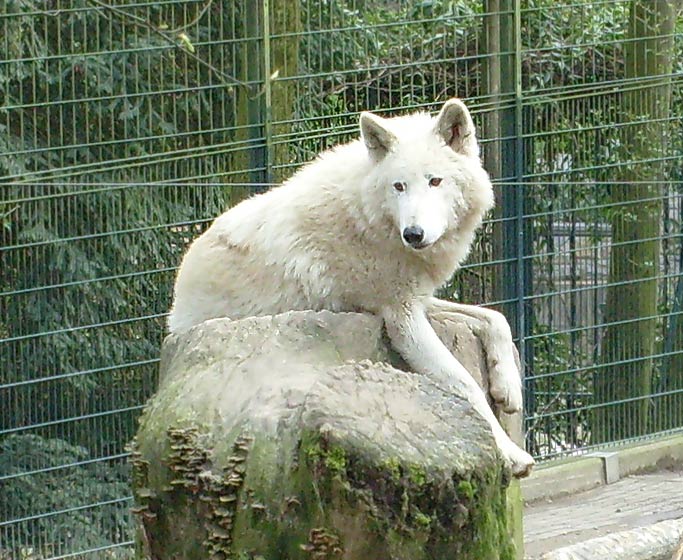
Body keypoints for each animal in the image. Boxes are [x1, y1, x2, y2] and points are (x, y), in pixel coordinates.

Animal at [168, 98, 536, 474]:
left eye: (435, 181)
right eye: (399, 186)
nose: (414, 234)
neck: (368, 216)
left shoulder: (415, 298)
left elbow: (494, 318)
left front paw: (509, 388)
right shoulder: (401, 316)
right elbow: (465, 383)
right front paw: (510, 453)